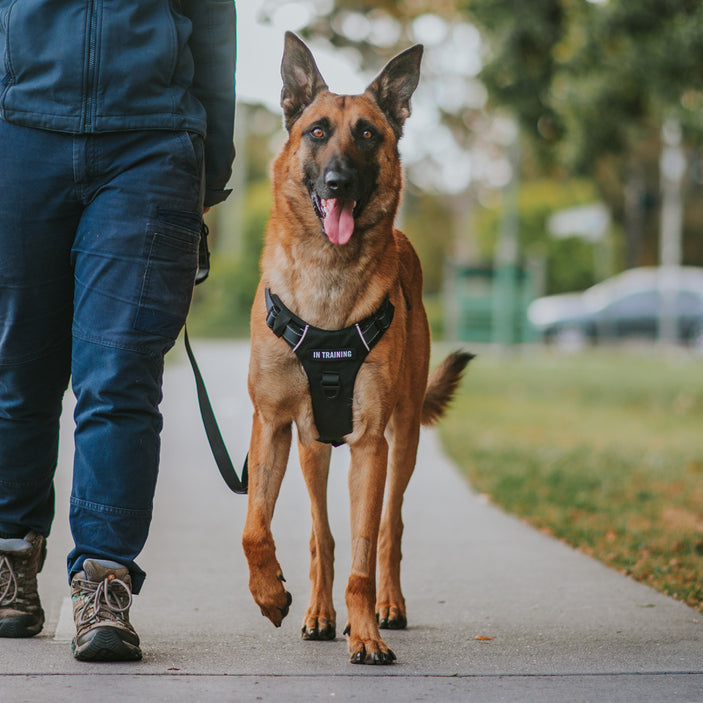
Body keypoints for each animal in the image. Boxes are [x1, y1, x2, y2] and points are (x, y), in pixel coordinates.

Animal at [243, 33, 472, 664]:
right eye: (318, 131)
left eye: (368, 134)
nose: (339, 183)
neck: (328, 281)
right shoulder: (272, 424)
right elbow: (256, 529)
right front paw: (270, 593)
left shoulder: (371, 442)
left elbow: (365, 555)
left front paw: (366, 631)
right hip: (313, 448)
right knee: (321, 532)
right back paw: (319, 613)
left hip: (403, 439)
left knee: (390, 527)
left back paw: (386, 607)